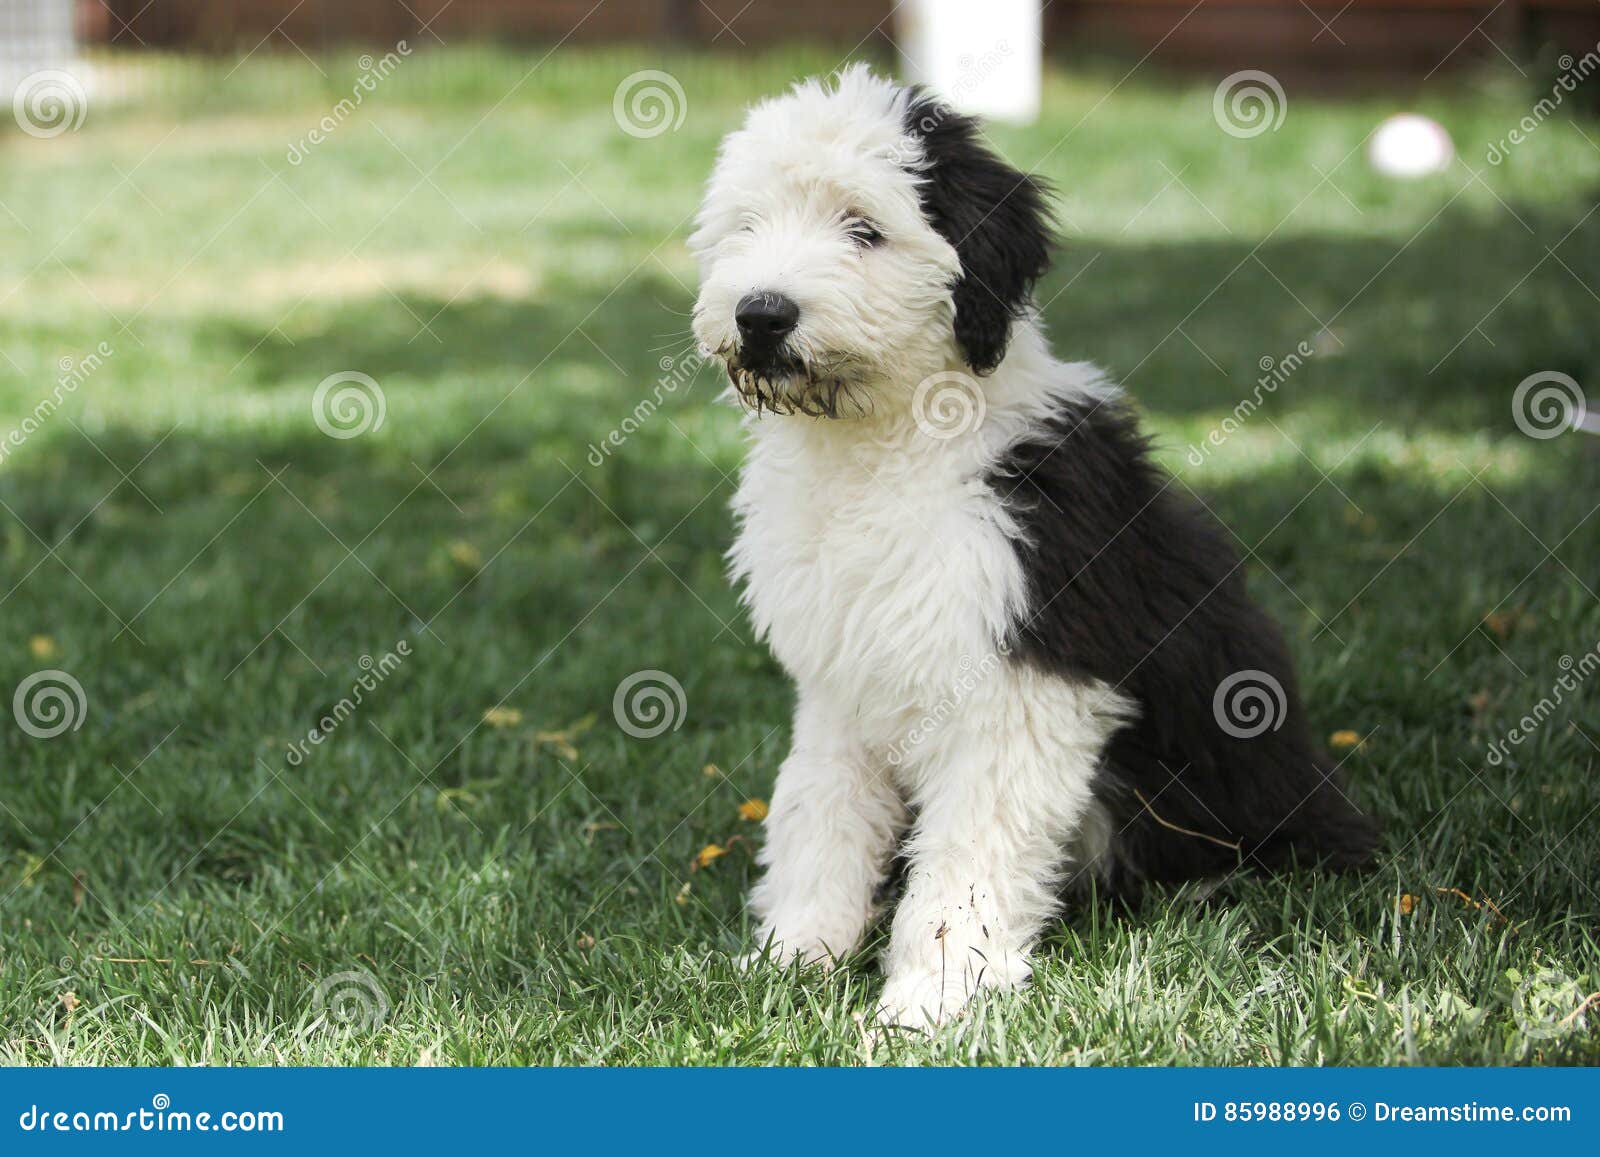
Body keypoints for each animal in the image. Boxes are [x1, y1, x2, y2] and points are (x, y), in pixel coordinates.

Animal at [688, 68, 1376, 1024]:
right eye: (746, 226)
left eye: (863, 228)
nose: (761, 314)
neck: (885, 445)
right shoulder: (840, 681)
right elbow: (819, 812)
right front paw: (796, 957)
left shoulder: (1020, 683)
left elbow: (969, 854)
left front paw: (929, 999)